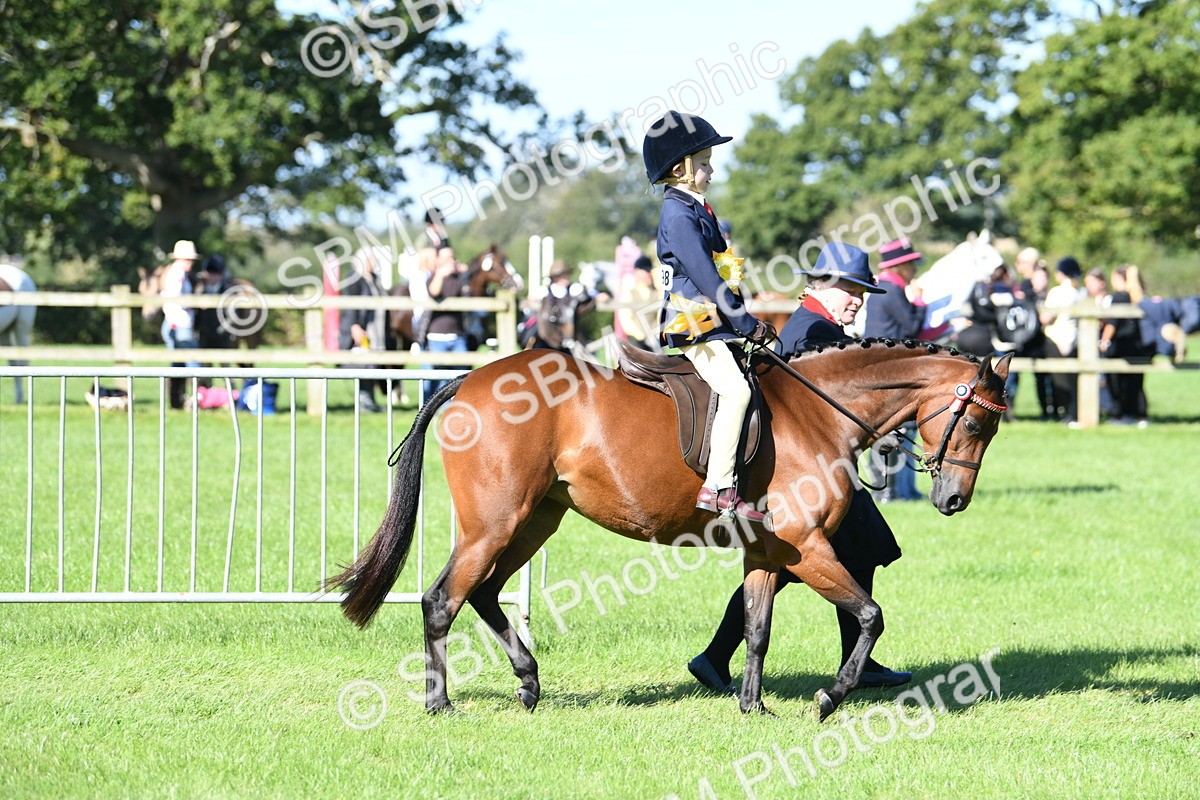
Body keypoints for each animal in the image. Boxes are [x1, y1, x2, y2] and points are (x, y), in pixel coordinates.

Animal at [325, 339, 1012, 721]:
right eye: (978, 424)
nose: (953, 500)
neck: (819, 413)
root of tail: (468, 378)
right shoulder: (809, 549)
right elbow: (869, 614)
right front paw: (830, 698)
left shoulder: (768, 554)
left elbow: (757, 630)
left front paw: (752, 705)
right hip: (494, 523)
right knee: (444, 598)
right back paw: (440, 703)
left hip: (534, 521)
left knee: (486, 594)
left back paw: (528, 682)